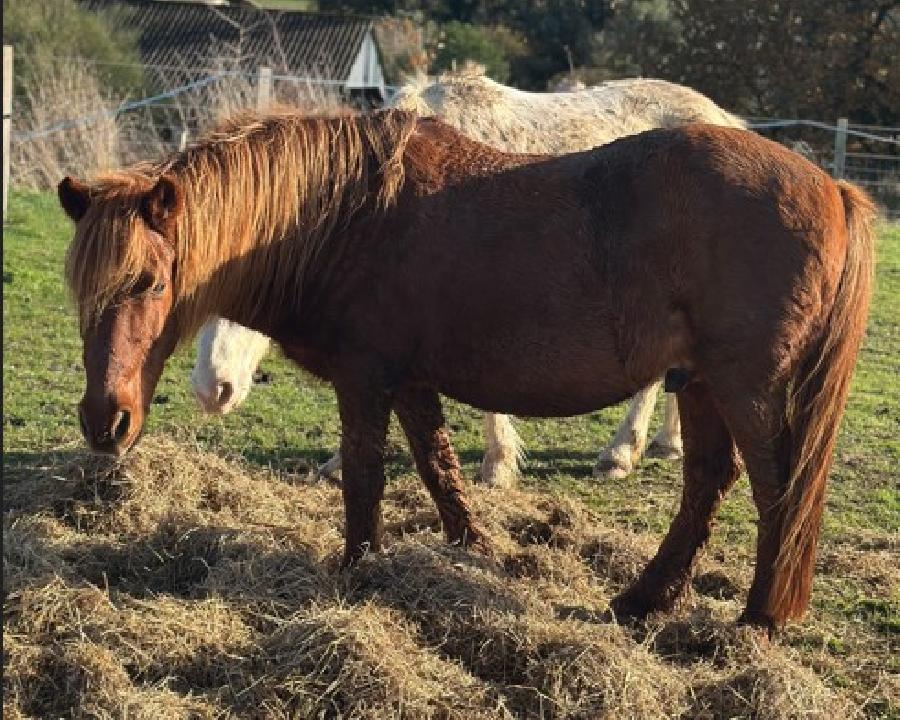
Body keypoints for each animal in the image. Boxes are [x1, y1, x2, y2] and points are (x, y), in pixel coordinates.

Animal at [190, 71, 746, 486]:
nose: (210, 390)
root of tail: (725, 120)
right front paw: (338, 464)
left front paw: (497, 466)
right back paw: (667, 444)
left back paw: (620, 454)